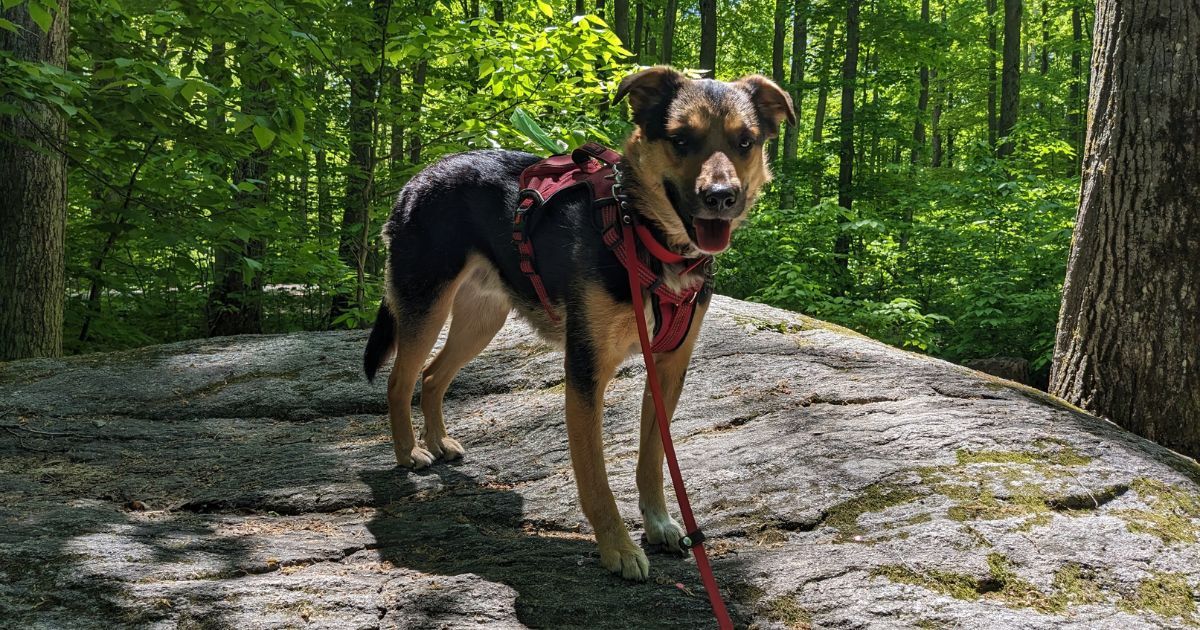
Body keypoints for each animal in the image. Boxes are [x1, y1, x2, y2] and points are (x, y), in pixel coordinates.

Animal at [364, 67, 796, 580]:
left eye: (745, 142)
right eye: (681, 139)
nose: (720, 197)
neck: (643, 236)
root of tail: (418, 178)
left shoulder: (667, 369)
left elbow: (652, 459)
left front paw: (659, 523)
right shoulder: (586, 371)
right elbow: (596, 478)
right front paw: (618, 547)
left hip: (482, 320)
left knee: (432, 376)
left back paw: (438, 440)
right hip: (425, 307)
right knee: (399, 379)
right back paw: (408, 451)